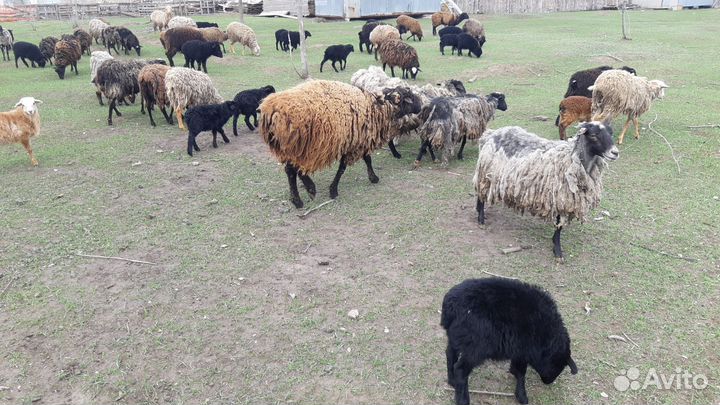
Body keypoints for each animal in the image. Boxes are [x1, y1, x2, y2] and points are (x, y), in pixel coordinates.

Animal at [259, 80, 422, 208]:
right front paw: (333, 190)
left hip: (290, 148)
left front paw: (373, 177)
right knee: (294, 170)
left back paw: (301, 195)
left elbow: (367, 159)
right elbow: (343, 167)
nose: (421, 105)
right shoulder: (354, 143)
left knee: (291, 170)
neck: (377, 107)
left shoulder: (358, 140)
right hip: (297, 145)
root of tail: (270, 110)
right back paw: (307, 192)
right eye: (409, 97)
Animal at [441, 277, 579, 405]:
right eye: (557, 365)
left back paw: (452, 381)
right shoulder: (523, 350)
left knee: (450, 354)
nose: (548, 382)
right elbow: (521, 372)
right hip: (476, 347)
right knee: (460, 369)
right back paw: (463, 399)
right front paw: (522, 396)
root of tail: (451, 305)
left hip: (456, 337)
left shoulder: (519, 351)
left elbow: (517, 369)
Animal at [474, 122, 619, 259]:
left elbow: (560, 224)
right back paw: (481, 219)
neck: (573, 160)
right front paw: (558, 251)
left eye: (611, 133)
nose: (615, 153)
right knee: (481, 193)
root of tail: (490, 134)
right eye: (593, 135)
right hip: (486, 172)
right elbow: (559, 224)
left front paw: (555, 243)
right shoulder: (560, 197)